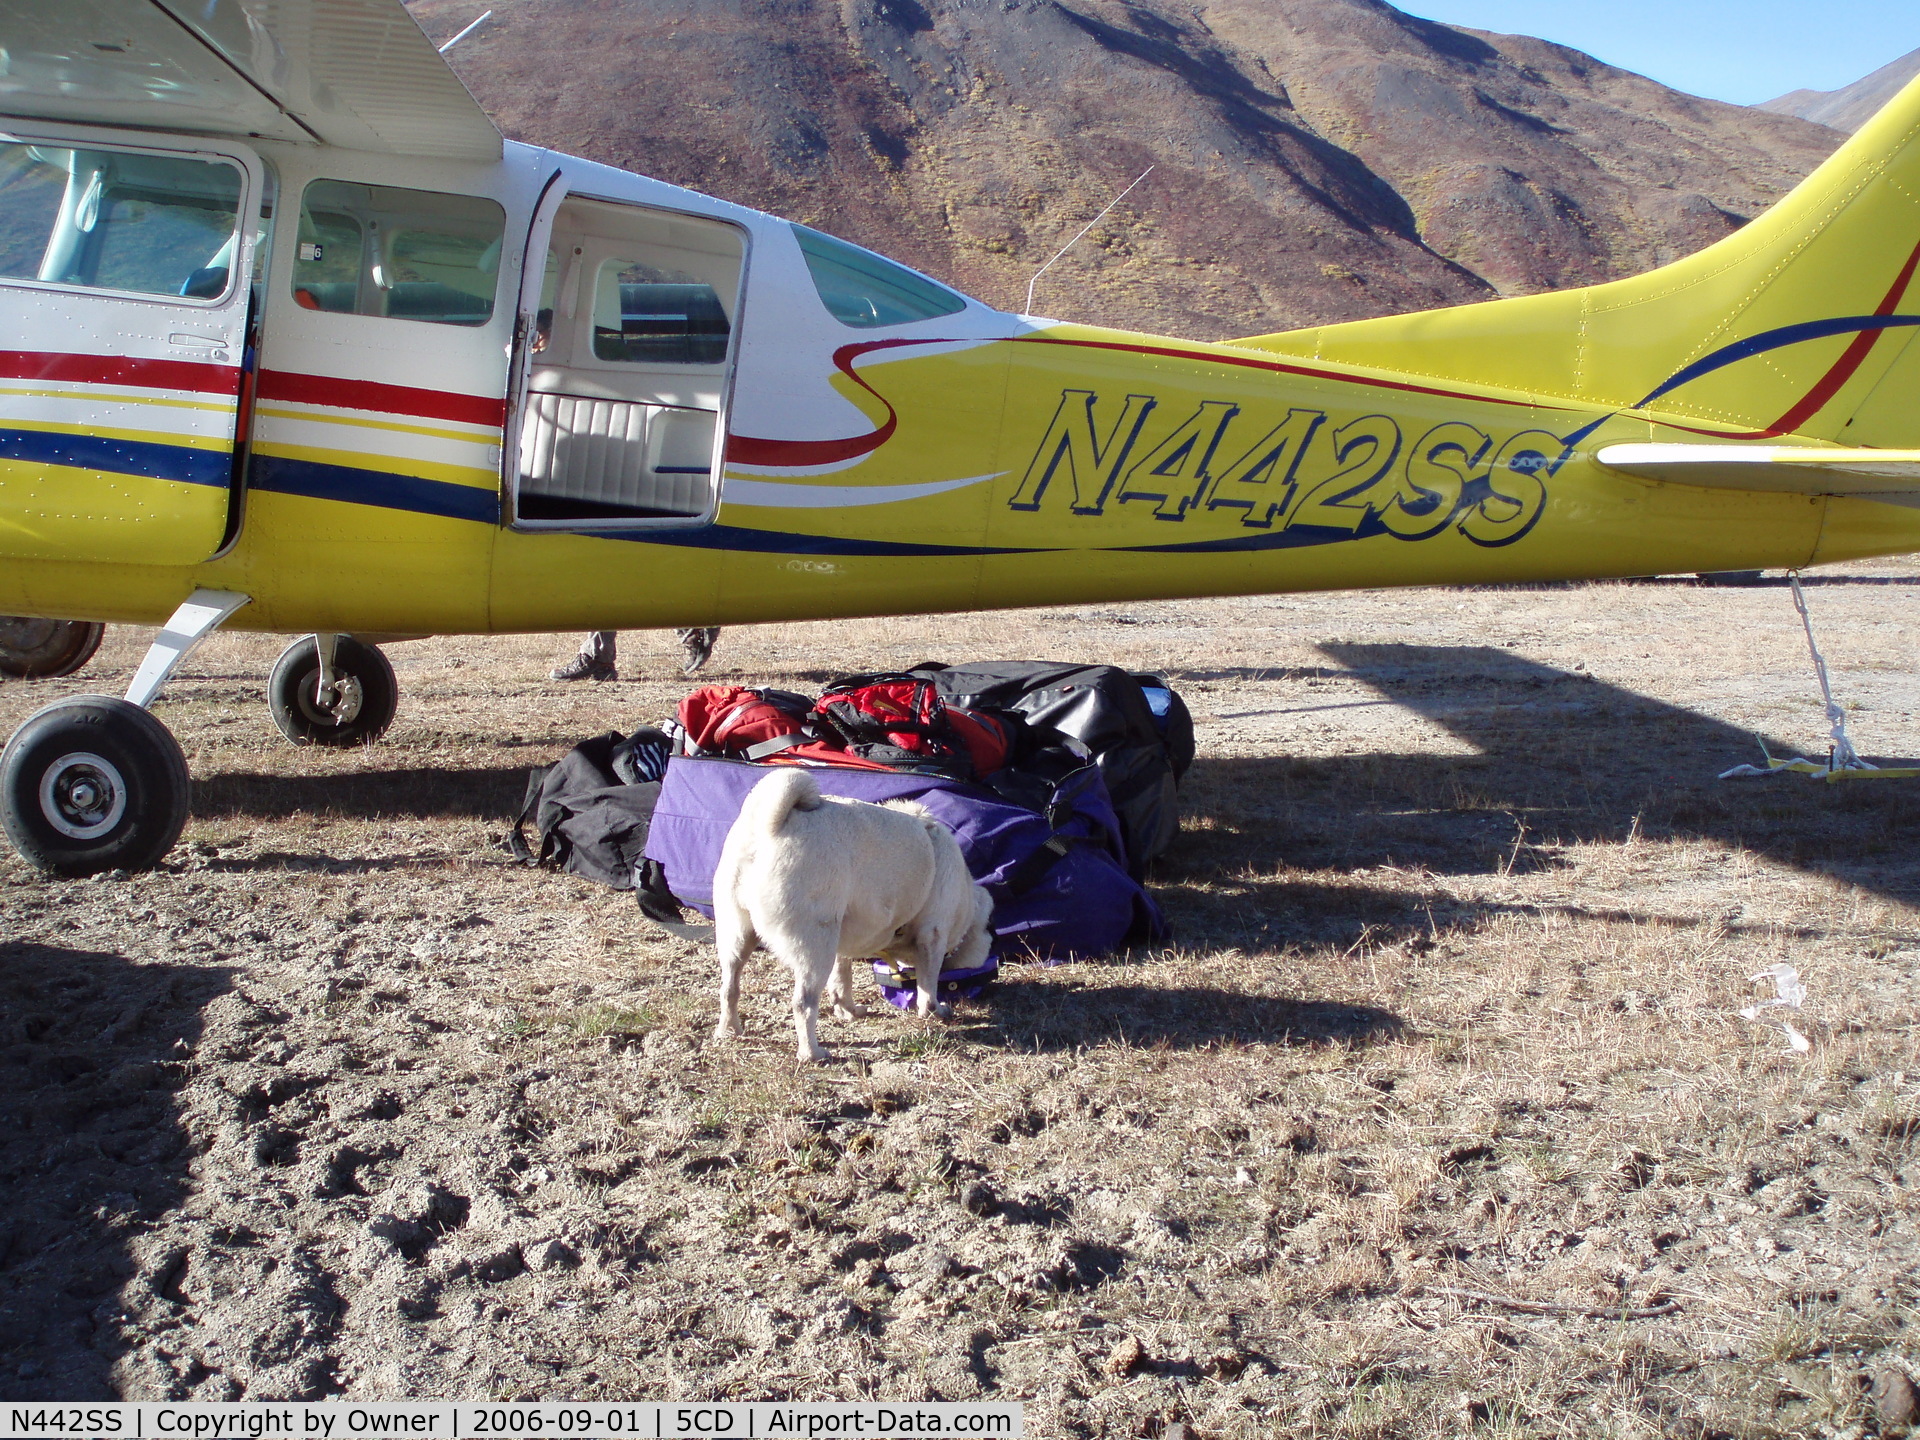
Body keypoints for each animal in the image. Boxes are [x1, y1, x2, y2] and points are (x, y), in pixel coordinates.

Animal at [714, 771, 998, 1067]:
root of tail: (770, 824)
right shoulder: (932, 937)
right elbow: (928, 986)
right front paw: (935, 1011)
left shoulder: (842, 945)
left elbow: (841, 982)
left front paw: (848, 1011)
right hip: (815, 944)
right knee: (803, 1003)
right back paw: (811, 1053)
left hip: (739, 934)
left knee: (729, 987)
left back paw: (729, 1030)